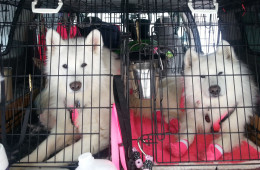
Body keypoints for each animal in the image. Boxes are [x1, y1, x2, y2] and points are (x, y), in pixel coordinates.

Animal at [16, 28, 120, 167]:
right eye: (65, 66)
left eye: (84, 64)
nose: (75, 86)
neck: (80, 101)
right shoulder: (63, 127)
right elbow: (42, 148)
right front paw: (23, 163)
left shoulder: (97, 137)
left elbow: (61, 155)